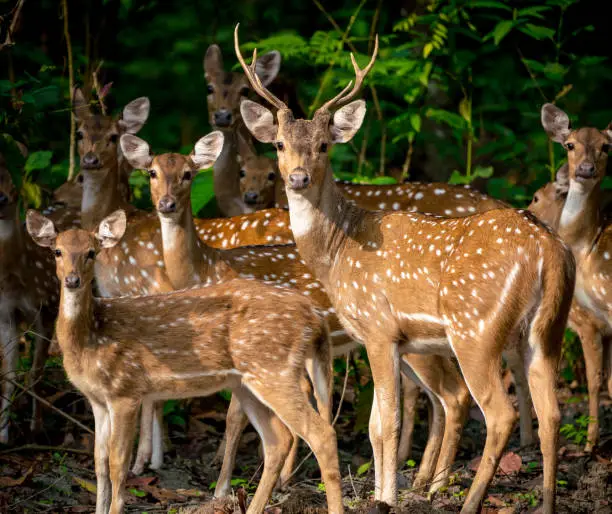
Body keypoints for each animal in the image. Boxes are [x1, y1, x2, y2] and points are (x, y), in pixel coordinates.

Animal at [26, 208, 342, 512]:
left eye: (91, 252)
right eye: (57, 251)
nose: (72, 280)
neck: (91, 338)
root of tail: (313, 315)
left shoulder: (125, 391)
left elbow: (118, 464)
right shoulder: (97, 400)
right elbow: (99, 463)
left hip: (273, 368)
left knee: (321, 434)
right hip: (248, 382)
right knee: (278, 440)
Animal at [120, 132, 474, 492]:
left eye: (188, 174)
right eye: (151, 172)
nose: (166, 204)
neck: (206, 270)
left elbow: (234, 418)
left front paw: (224, 486)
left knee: (454, 394)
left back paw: (433, 483)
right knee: (437, 396)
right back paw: (421, 477)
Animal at [237, 26, 576, 510]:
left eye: (324, 145)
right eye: (280, 144)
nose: (298, 178)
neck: (338, 250)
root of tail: (549, 249)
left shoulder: (378, 328)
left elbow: (389, 424)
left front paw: (388, 498)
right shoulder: (389, 340)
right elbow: (377, 425)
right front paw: (384, 492)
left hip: (476, 328)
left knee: (500, 412)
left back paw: (468, 500)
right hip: (547, 330)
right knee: (552, 414)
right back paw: (545, 501)